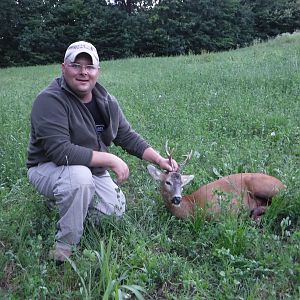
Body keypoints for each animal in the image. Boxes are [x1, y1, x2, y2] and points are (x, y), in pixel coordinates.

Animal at [148, 143, 286, 220]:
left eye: (182, 185)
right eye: (168, 182)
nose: (177, 198)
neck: (192, 207)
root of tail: (282, 184)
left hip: (262, 185)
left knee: (280, 202)